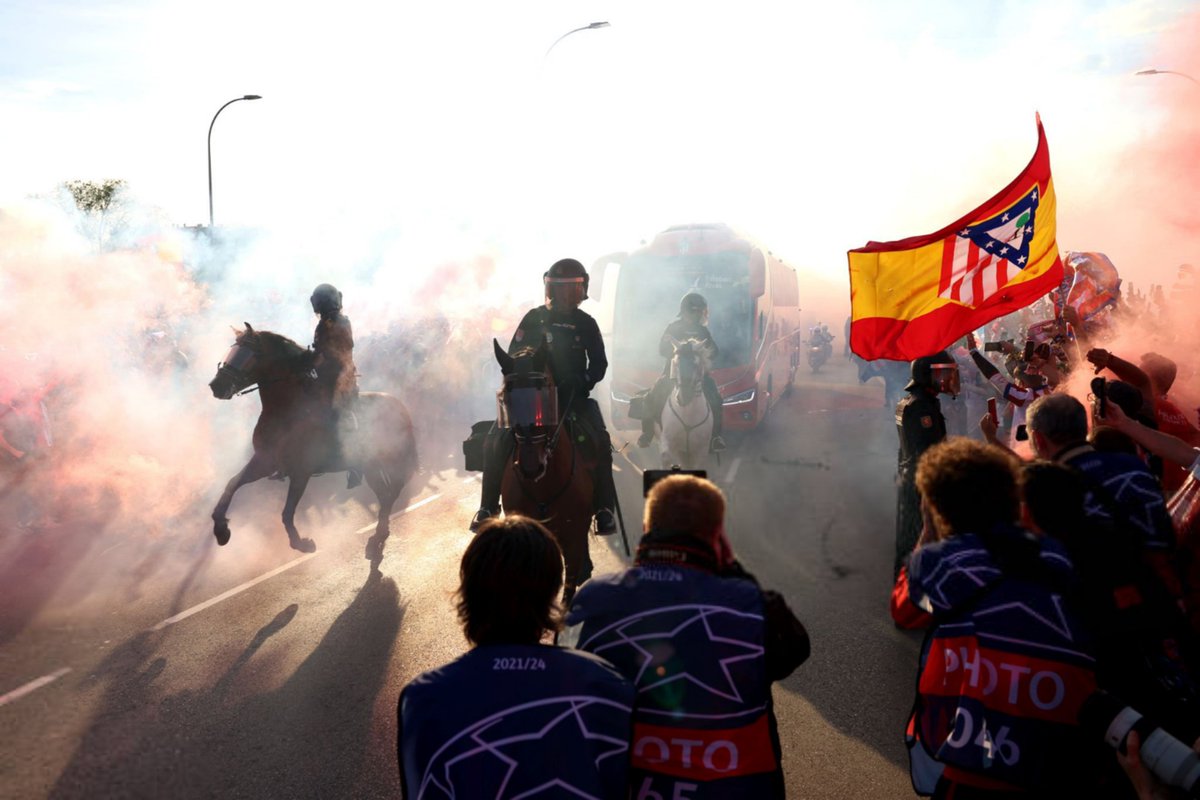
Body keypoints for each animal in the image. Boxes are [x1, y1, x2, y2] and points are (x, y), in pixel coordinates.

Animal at [204, 321, 415, 561]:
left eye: (248, 354)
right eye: (233, 350)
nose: (217, 386)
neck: (286, 413)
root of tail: (399, 404)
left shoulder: (301, 472)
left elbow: (287, 512)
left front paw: (302, 544)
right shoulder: (264, 463)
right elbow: (232, 484)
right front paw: (221, 530)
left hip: (379, 463)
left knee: (389, 494)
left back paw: (377, 537)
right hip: (371, 467)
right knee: (385, 494)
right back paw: (379, 536)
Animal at [657, 335, 710, 470]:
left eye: (695, 364)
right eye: (676, 362)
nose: (683, 397)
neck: (687, 414)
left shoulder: (701, 451)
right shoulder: (668, 440)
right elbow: (665, 456)